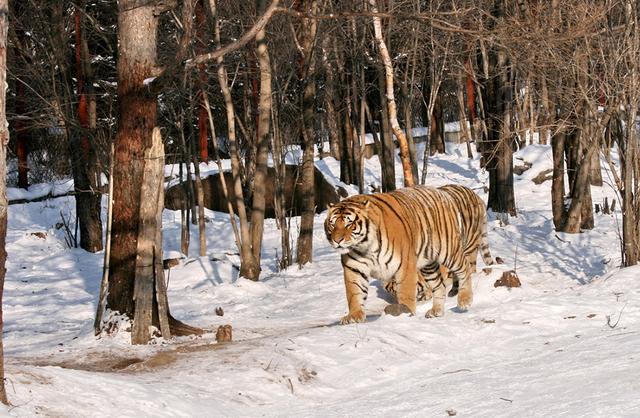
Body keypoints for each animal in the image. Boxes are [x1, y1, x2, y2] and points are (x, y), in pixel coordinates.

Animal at [324, 185, 476, 324]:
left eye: (349, 224)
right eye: (332, 224)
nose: (337, 240)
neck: (364, 247)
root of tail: (441, 191)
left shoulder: (405, 265)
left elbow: (406, 292)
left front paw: (405, 313)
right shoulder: (353, 268)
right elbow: (354, 292)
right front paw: (354, 316)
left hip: (449, 251)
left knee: (465, 268)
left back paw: (465, 300)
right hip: (428, 264)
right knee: (439, 286)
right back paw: (436, 311)